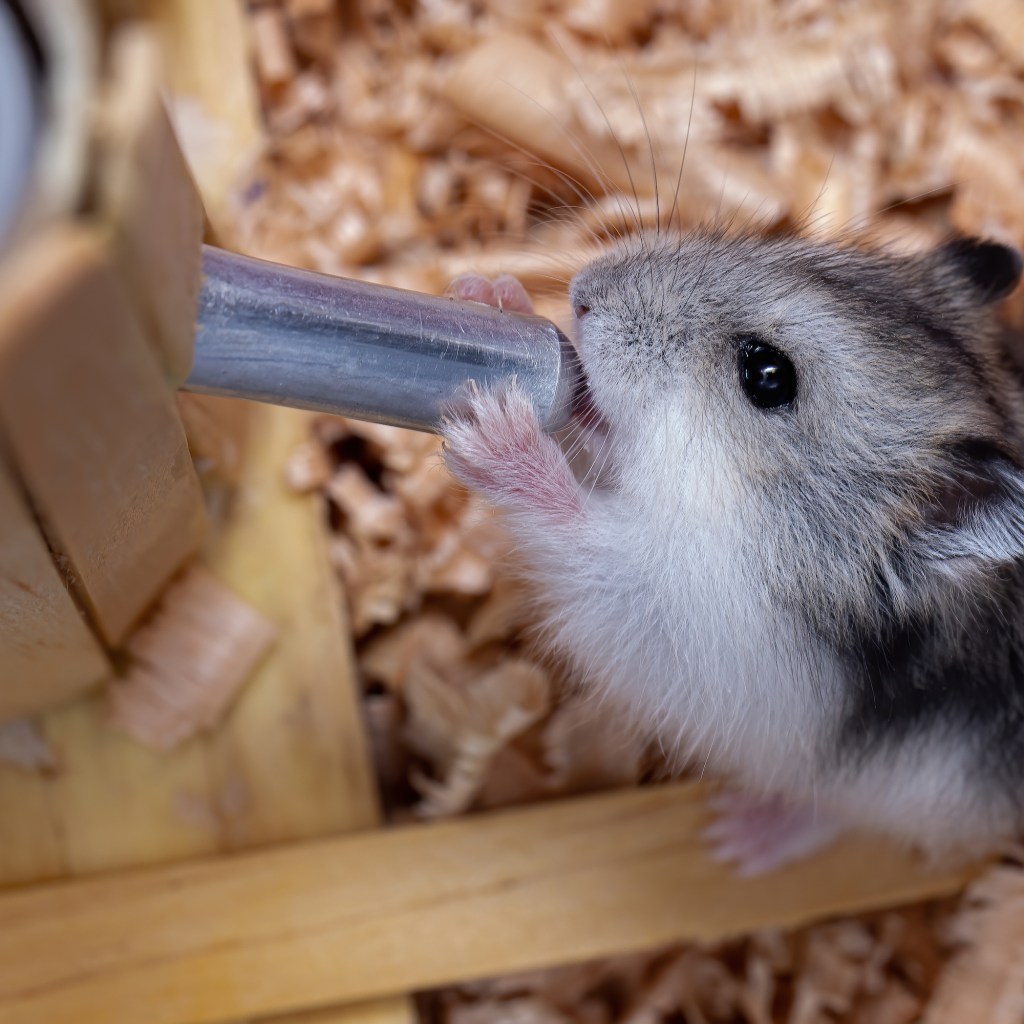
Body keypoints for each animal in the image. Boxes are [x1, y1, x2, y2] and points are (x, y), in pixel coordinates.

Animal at [441, 232, 1024, 874]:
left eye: (767, 375)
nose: (583, 294)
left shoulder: (690, 622)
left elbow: (590, 542)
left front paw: (494, 434)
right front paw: (490, 294)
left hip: (921, 787)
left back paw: (736, 836)